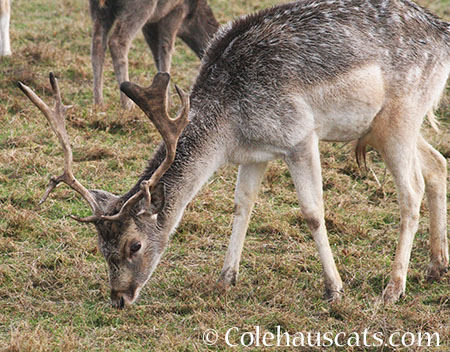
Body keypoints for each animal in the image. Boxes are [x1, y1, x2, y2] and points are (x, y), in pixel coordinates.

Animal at [89, 0, 218, 109]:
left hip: (98, 8)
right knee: (117, 41)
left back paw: (98, 103)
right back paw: (128, 105)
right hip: (139, 7)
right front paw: (169, 103)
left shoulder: (151, 21)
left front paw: (167, 100)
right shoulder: (176, 9)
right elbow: (166, 47)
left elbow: (156, 53)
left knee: (97, 41)